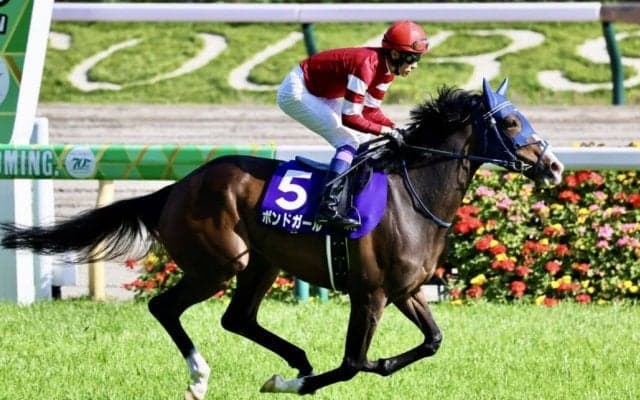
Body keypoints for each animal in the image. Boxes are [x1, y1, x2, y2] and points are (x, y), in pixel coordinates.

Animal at [0, 78, 563, 398]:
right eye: (511, 121)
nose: (555, 166)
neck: (413, 195)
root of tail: (175, 187)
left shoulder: (406, 290)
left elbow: (431, 342)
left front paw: (306, 373)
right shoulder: (371, 293)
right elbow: (354, 363)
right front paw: (290, 384)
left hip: (262, 262)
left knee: (237, 317)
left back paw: (294, 357)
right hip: (221, 261)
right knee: (166, 307)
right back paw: (202, 375)